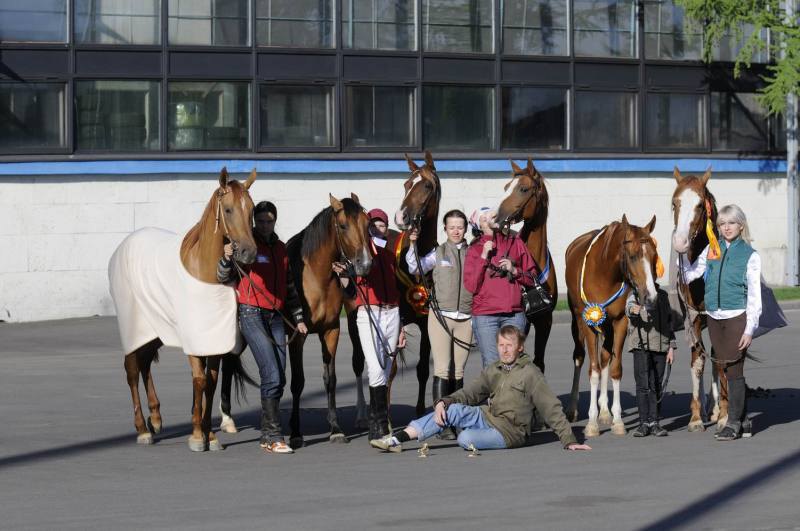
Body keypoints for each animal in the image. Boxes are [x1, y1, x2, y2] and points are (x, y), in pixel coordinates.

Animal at [109, 168, 258, 450]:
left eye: (252, 210)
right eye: (229, 209)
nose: (248, 252)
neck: (203, 270)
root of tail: (123, 246)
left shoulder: (214, 340)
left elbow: (211, 382)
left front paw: (211, 435)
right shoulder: (194, 339)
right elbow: (199, 379)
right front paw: (198, 436)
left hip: (154, 331)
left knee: (145, 364)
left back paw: (155, 418)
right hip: (134, 327)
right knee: (132, 369)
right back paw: (142, 429)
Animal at [286, 193, 374, 446]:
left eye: (367, 224)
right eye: (343, 226)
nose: (365, 264)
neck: (316, 278)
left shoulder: (331, 331)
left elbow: (331, 379)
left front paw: (335, 428)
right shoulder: (297, 336)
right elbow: (297, 382)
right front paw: (295, 433)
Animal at [564, 214, 656, 438]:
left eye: (654, 256)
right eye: (632, 256)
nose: (650, 296)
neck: (605, 273)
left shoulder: (620, 321)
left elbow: (614, 369)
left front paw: (617, 420)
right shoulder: (589, 323)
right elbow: (594, 371)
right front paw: (591, 424)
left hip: (606, 325)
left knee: (605, 357)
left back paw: (604, 411)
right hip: (578, 321)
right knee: (580, 358)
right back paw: (573, 409)